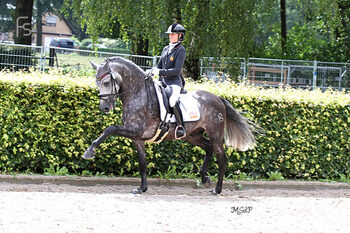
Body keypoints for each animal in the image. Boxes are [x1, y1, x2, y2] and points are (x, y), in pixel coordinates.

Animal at [83, 57, 256, 195]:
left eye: (106, 82)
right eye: (97, 83)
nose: (105, 108)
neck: (138, 93)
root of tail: (218, 98)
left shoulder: (134, 130)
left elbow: (110, 129)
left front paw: (90, 151)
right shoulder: (137, 137)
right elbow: (142, 163)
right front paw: (142, 188)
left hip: (215, 134)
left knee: (221, 158)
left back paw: (217, 189)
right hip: (193, 135)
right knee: (208, 148)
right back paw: (204, 177)